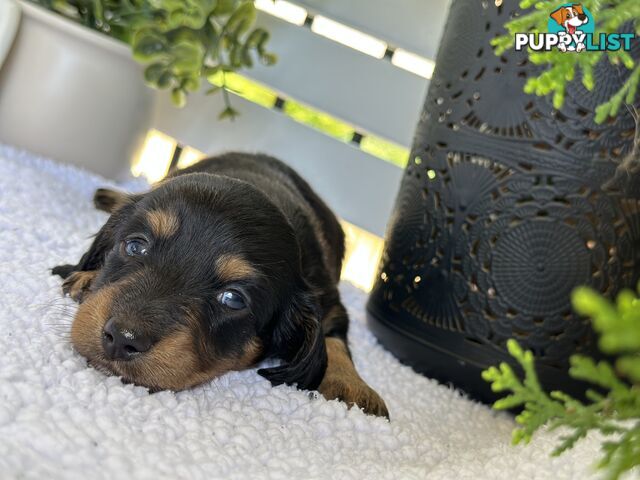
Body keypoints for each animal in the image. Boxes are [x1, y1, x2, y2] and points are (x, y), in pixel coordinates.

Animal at [52, 153, 388, 416]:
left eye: (233, 299)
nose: (122, 339)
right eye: (136, 246)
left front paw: (351, 386)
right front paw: (87, 277)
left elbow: (334, 338)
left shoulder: (329, 301)